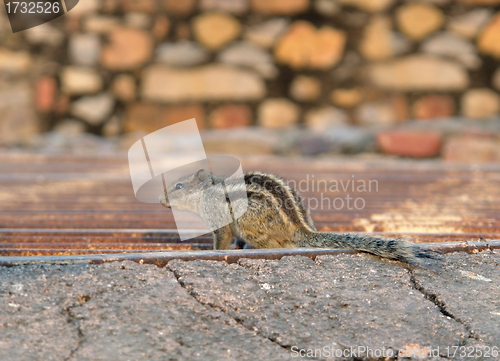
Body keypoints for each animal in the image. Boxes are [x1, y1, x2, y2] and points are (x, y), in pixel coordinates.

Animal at [158, 169, 440, 264]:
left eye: (179, 186)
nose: (161, 200)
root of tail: (301, 227)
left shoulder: (220, 221)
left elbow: (221, 238)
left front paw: (215, 250)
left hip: (251, 224)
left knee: (274, 244)